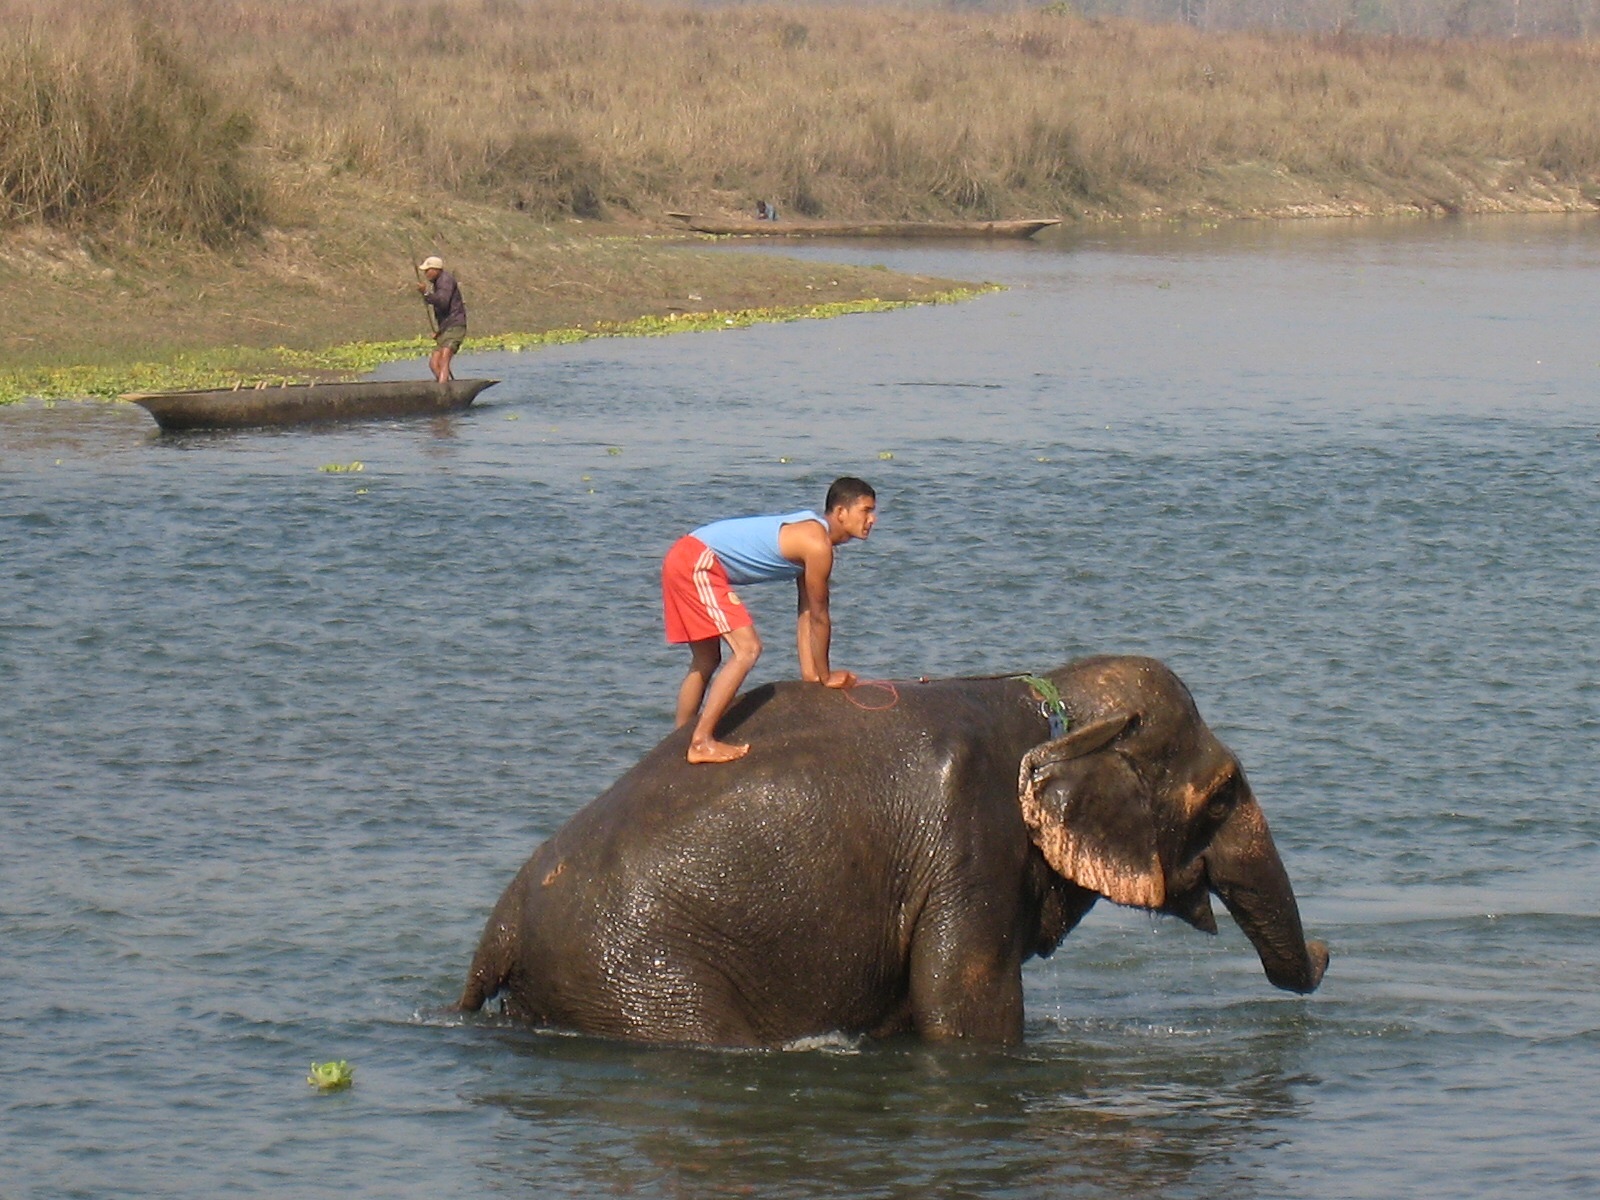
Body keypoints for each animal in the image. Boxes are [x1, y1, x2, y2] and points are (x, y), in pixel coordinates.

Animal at [460, 652, 1324, 1049]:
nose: (1322, 957)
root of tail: (498, 929)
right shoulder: (968, 848)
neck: (1053, 696)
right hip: (639, 977)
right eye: (1223, 795)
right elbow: (966, 1013)